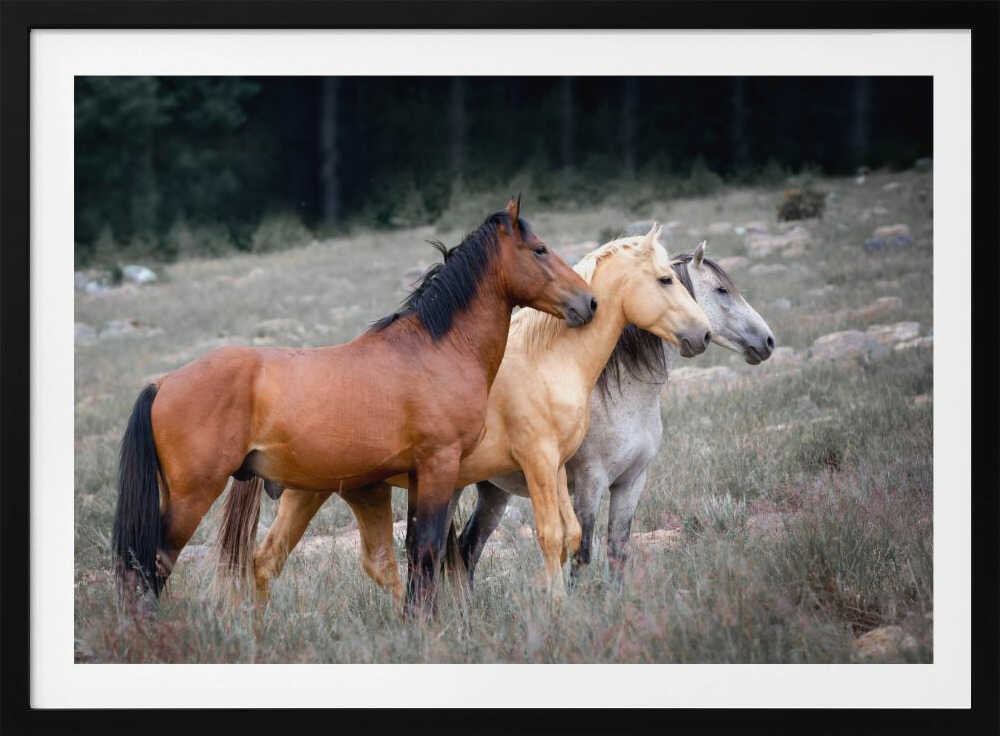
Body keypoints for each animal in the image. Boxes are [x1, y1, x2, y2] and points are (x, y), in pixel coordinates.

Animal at [111, 198, 597, 614]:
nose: (588, 302)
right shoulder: (439, 466)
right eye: (540, 249)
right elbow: (428, 550)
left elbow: (415, 552)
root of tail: (162, 383)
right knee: (153, 565)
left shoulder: (419, 477)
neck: (435, 349)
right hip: (191, 497)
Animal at [221, 225, 713, 603]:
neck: (548, 360)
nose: (703, 334)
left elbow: (570, 536)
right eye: (665, 280)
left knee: (274, 560)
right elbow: (552, 535)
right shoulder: (541, 463)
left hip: (330, 492)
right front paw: (557, 606)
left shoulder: (556, 466)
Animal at [458, 240, 775, 588]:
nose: (768, 340)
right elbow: (582, 554)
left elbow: (617, 551)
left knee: (467, 548)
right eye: (722, 290)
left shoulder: (630, 483)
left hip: (493, 492)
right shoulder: (590, 483)